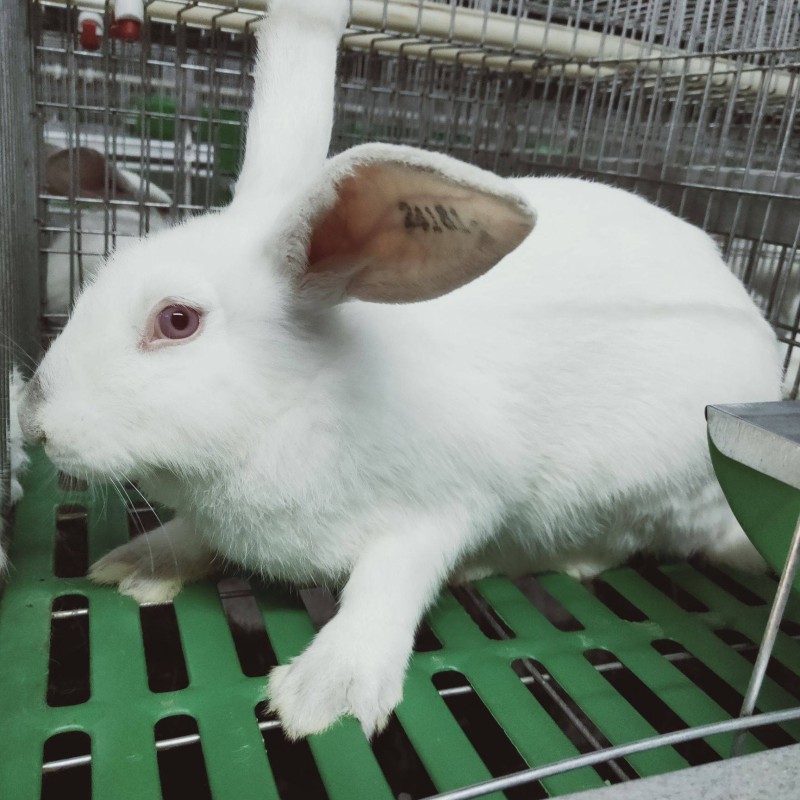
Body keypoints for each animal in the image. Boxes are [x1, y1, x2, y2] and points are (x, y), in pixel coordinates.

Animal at [17, 0, 783, 741]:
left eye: (177, 321)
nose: (33, 419)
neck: (294, 405)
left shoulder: (446, 504)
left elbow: (387, 585)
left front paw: (326, 694)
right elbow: (193, 534)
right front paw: (138, 566)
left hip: (629, 497)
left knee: (602, 548)